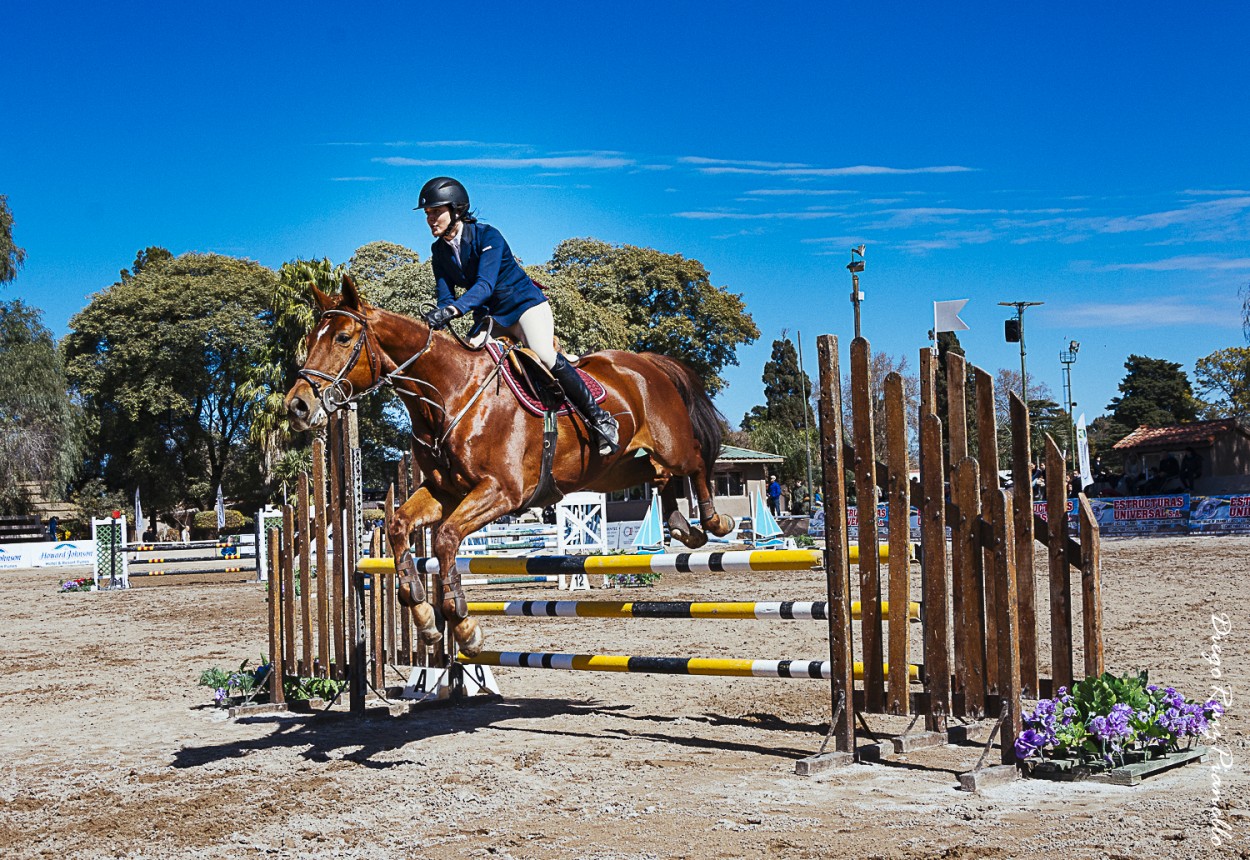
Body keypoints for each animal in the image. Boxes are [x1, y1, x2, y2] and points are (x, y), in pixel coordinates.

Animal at [283, 278, 730, 655]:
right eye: (310, 338)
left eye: (343, 338)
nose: (297, 406)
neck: (446, 394)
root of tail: (645, 363)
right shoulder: (446, 493)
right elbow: (397, 526)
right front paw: (424, 616)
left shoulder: (501, 492)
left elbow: (445, 539)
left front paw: (463, 626)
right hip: (615, 468)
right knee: (660, 476)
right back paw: (681, 526)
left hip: (669, 445)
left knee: (696, 460)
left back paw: (713, 521)